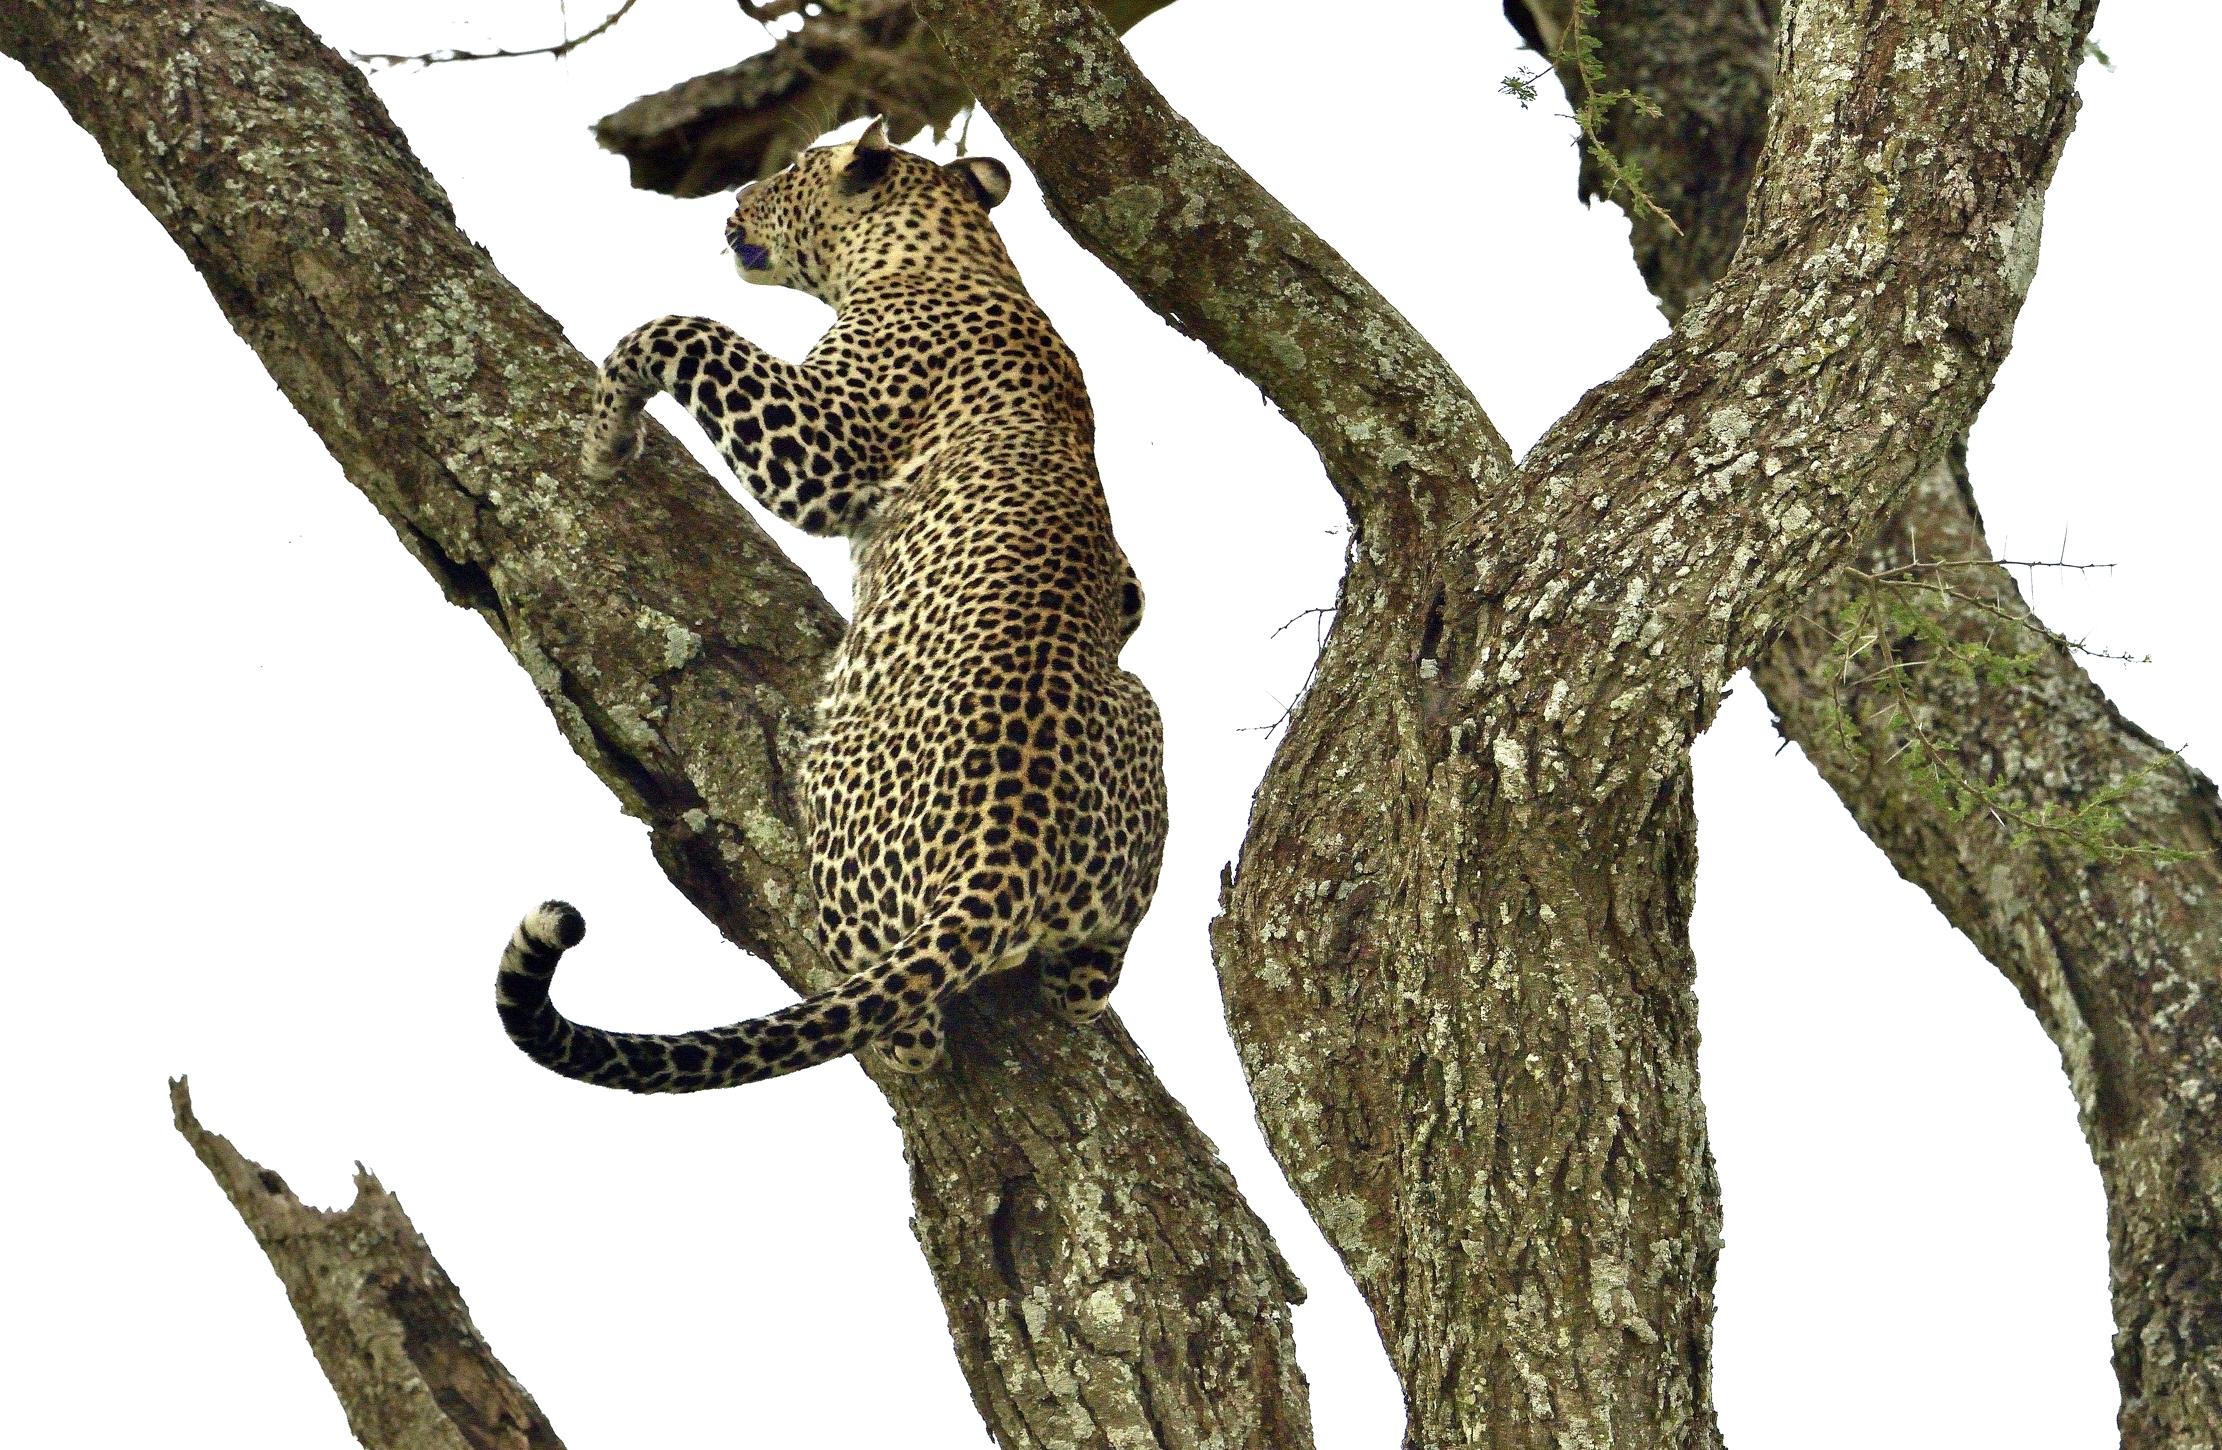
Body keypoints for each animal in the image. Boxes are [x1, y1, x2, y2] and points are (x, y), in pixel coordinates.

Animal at [494, 121, 1166, 1091]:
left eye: (782, 171)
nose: (732, 205)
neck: (956, 250)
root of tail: (1009, 855)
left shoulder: (822, 441)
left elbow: (678, 328)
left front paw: (606, 436)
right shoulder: (1128, 582)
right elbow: (1133, 595)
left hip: (839, 801)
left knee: (905, 1029)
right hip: (1136, 745)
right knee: (1087, 981)